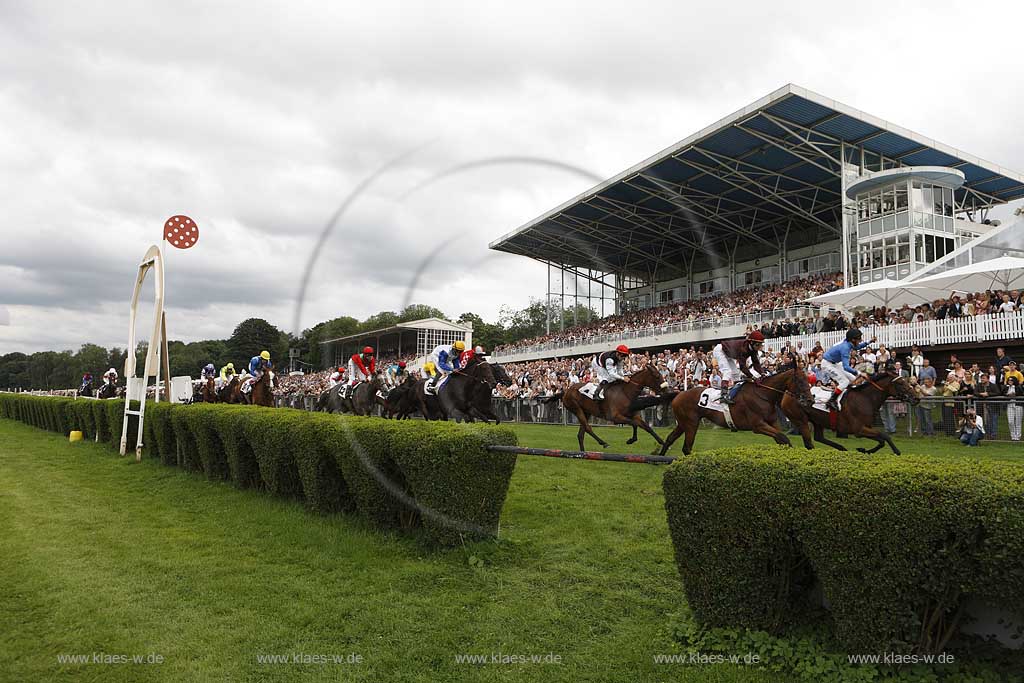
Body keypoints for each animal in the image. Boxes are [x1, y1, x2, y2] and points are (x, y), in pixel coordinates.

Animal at [659, 362, 811, 458]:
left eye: (808, 379)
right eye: (800, 381)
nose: (810, 400)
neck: (764, 394)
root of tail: (678, 394)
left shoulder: (773, 423)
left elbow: (781, 439)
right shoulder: (758, 425)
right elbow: (783, 437)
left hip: (683, 423)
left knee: (670, 439)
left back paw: (659, 458)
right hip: (691, 423)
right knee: (686, 447)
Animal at [782, 366, 921, 456]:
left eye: (907, 381)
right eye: (901, 383)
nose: (916, 398)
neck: (865, 398)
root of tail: (787, 392)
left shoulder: (866, 427)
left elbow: (881, 440)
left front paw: (864, 450)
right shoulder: (859, 429)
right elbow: (884, 435)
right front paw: (897, 451)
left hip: (818, 420)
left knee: (819, 437)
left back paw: (842, 448)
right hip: (800, 419)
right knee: (809, 441)